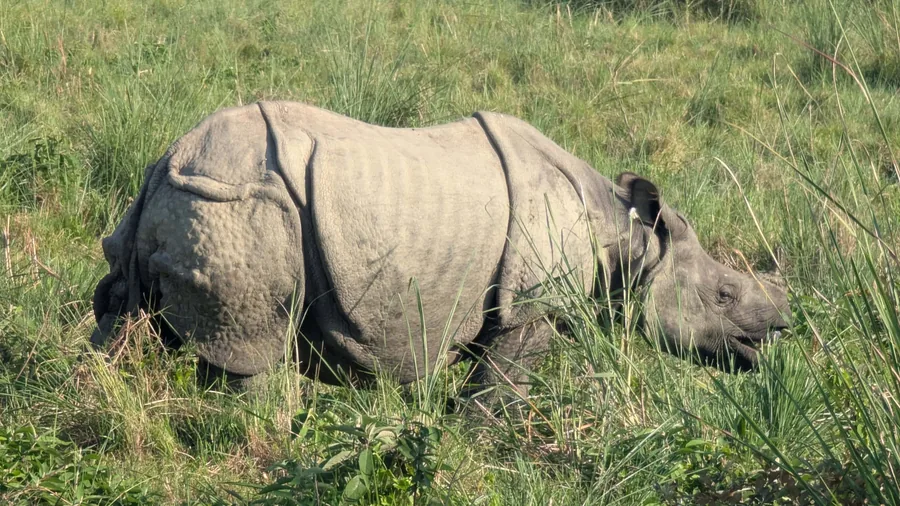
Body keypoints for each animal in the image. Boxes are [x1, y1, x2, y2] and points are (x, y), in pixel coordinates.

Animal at [91, 101, 790, 395]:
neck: (628, 238)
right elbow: (499, 392)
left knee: (119, 315)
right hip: (237, 205)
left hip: (188, 202)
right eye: (724, 294)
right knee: (255, 348)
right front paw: (482, 449)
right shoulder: (529, 307)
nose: (778, 330)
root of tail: (167, 161)